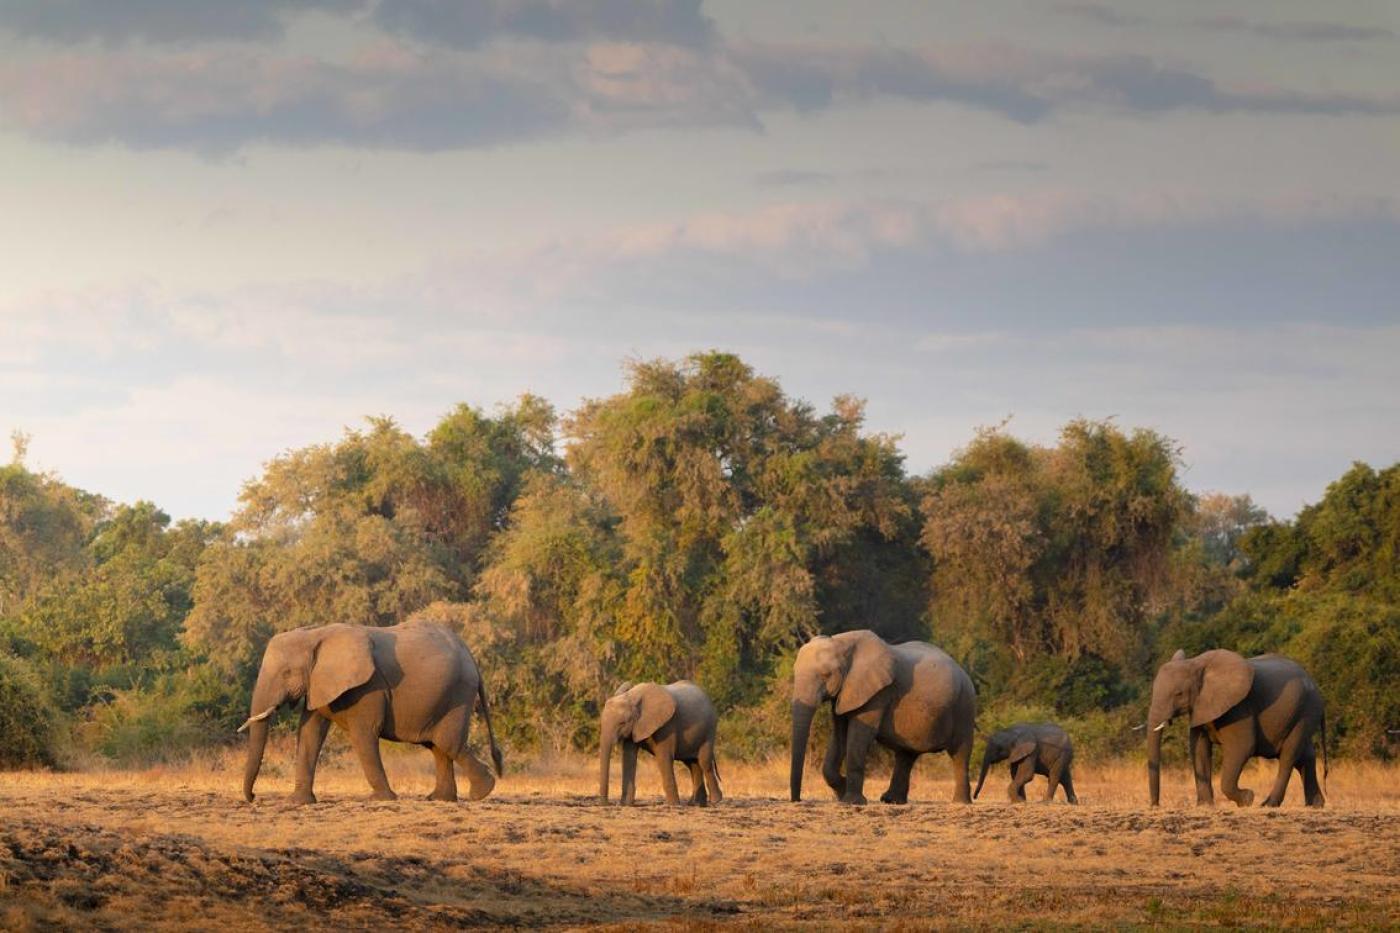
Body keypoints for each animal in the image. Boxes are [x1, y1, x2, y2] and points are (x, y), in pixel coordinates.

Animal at [239, 616, 504, 801]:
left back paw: (481, 792)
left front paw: (381, 799)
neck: (317, 633)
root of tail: (471, 656)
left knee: (447, 742)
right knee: (437, 746)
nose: (254, 798)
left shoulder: (369, 688)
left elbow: (363, 735)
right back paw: (440, 799)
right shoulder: (319, 683)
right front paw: (298, 802)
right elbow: (309, 734)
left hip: (457, 693)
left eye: (287, 673)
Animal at [789, 627, 974, 801]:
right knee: (906, 755)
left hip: (964, 706)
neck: (842, 642)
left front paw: (851, 801)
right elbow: (839, 735)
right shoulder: (846, 691)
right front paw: (842, 792)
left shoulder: (877, 693)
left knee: (960, 753)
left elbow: (860, 736)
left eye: (826, 675)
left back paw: (960, 802)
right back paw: (891, 800)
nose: (797, 800)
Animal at [1142, 647, 1327, 806]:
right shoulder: (1202, 706)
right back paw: (1315, 804)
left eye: (1178, 694)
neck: (1196, 663)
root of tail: (1316, 686)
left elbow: (1242, 747)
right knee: (1305, 756)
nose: (1155, 805)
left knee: (1288, 756)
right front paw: (1205, 806)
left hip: (1305, 713)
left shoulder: (1239, 708)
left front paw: (1247, 799)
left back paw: (1268, 804)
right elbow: (1199, 749)